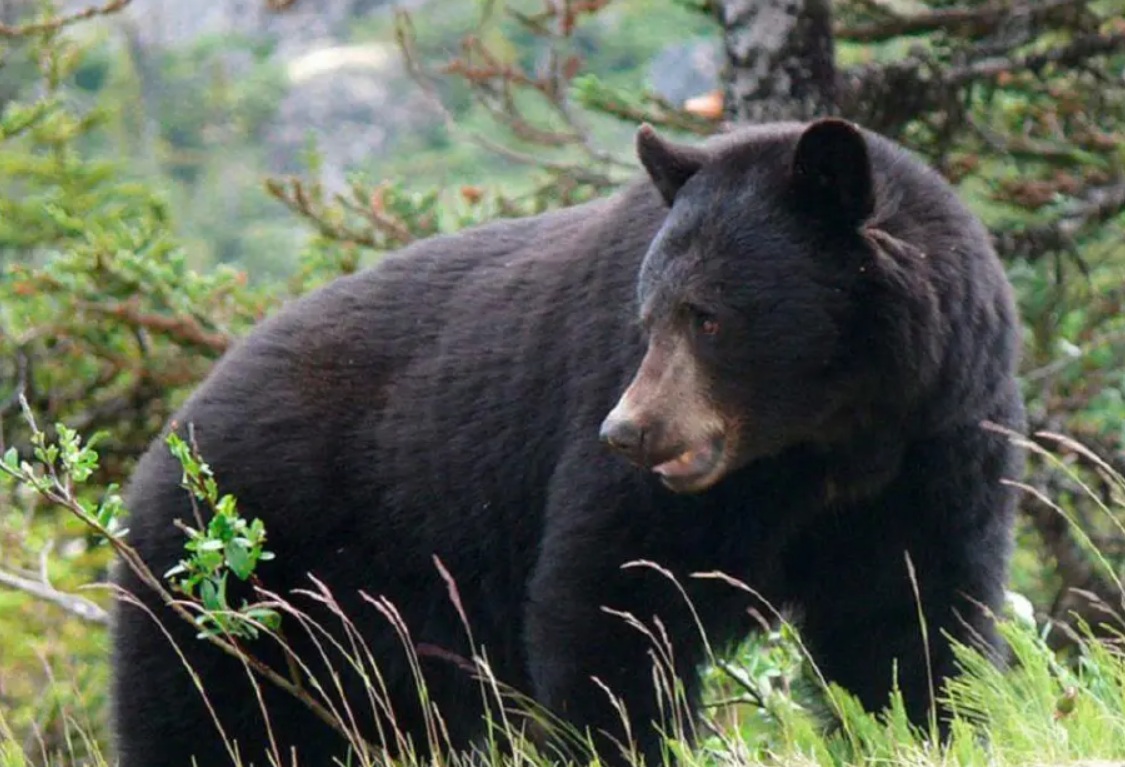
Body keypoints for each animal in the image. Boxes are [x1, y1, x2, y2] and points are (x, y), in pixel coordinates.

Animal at [110, 118, 1026, 767]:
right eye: (646, 317)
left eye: (707, 315)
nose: (628, 430)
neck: (826, 440)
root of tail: (163, 447)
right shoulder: (650, 482)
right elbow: (611, 604)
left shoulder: (933, 448)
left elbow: (907, 617)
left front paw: (924, 723)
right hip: (231, 582)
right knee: (198, 720)